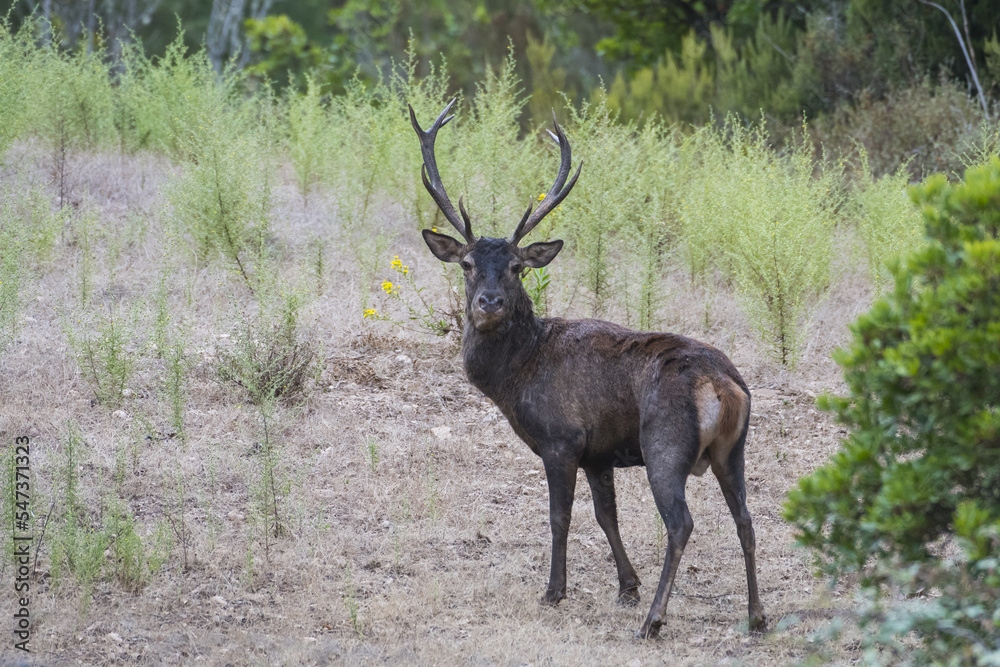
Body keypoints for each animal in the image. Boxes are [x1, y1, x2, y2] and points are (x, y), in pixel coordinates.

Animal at [406, 100, 764, 640]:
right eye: (467, 263)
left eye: (517, 267)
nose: (489, 303)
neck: (518, 374)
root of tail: (723, 386)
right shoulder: (599, 452)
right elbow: (606, 515)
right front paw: (626, 585)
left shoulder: (563, 439)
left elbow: (561, 516)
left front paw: (554, 591)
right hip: (733, 449)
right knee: (745, 518)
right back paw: (756, 615)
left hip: (665, 443)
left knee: (681, 522)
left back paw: (653, 621)